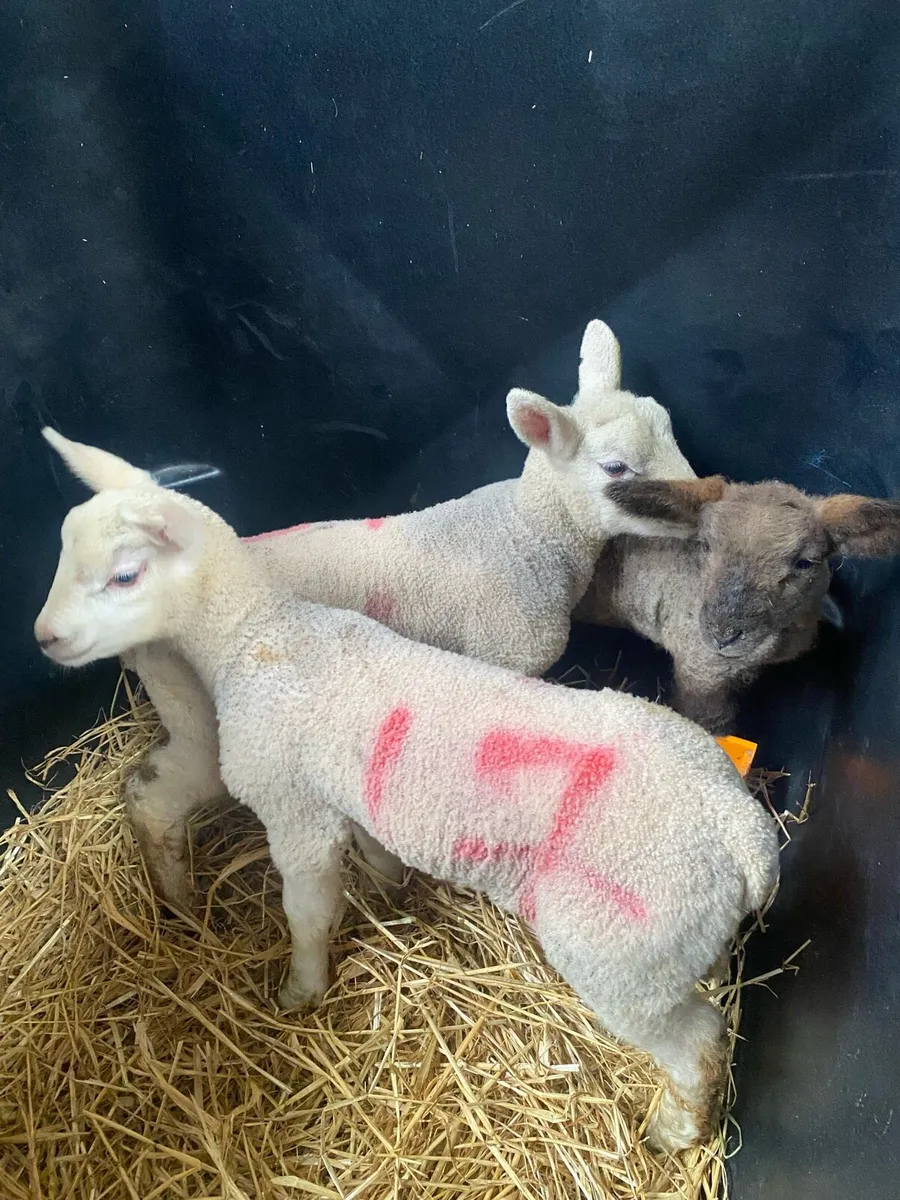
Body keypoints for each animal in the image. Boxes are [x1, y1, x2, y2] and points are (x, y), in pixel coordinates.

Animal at [35, 432, 778, 1154]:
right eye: (64, 551)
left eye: (125, 574)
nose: (45, 638)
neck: (258, 633)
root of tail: (741, 830)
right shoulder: (346, 793)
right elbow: (373, 847)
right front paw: (390, 891)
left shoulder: (294, 807)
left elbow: (308, 911)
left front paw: (300, 991)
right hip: (682, 937)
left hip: (625, 955)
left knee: (698, 1042)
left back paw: (675, 1133)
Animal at [104, 319, 696, 903]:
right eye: (616, 468)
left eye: (668, 428)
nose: (702, 503)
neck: (527, 533)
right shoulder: (502, 654)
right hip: (198, 709)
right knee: (155, 794)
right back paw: (178, 899)